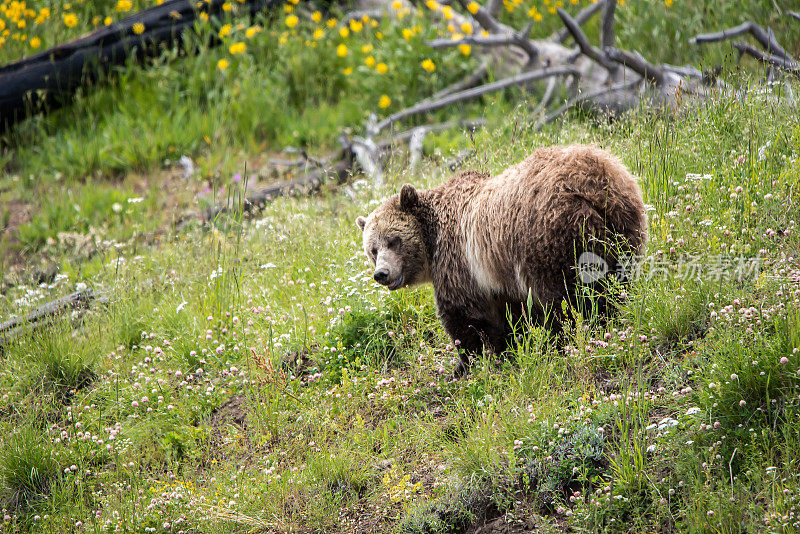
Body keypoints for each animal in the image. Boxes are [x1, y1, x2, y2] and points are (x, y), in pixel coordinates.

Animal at [360, 144, 648, 374]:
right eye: (372, 250)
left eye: (393, 240)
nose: (381, 273)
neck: (433, 243)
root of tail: (594, 183)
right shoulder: (499, 278)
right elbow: (513, 315)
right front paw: (514, 347)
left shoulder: (460, 263)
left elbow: (465, 318)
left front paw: (466, 363)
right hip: (624, 225)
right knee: (614, 284)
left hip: (548, 236)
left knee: (563, 298)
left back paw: (565, 338)